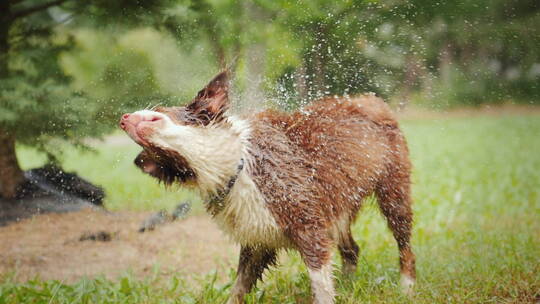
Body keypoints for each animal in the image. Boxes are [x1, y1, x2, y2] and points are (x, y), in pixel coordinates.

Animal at [120, 72, 416, 304]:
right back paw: (348, 284)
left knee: (403, 243)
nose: (123, 119)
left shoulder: (308, 224)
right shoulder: (257, 238)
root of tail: (370, 98)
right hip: (338, 205)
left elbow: (319, 282)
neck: (234, 167)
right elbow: (239, 286)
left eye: (158, 113)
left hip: (394, 190)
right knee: (351, 249)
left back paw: (407, 285)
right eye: (158, 155)